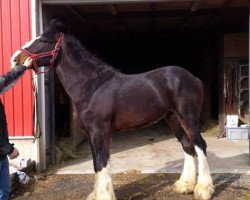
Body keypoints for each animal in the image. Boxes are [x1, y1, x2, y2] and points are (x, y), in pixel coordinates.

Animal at [10, 19, 214, 200]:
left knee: (200, 145)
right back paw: (184, 186)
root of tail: (193, 78)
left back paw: (203, 190)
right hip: (172, 119)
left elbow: (102, 161)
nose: (15, 59)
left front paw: (103, 195)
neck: (92, 85)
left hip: (188, 118)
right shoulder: (90, 133)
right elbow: (97, 162)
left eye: (43, 41)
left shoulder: (99, 130)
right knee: (187, 146)